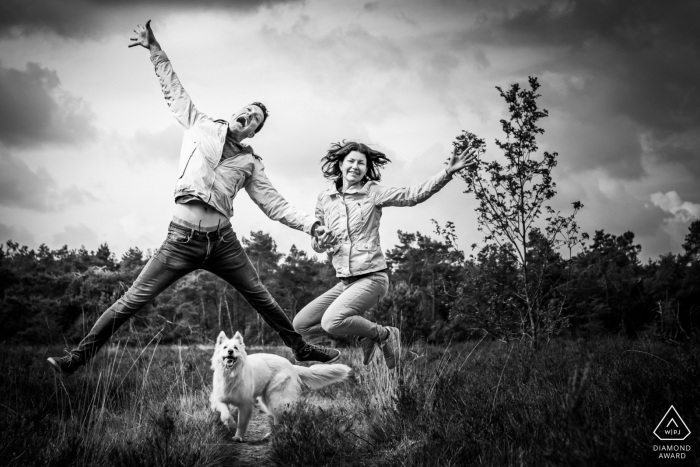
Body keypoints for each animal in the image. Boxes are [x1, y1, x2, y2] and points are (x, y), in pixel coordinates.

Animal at [208, 330, 350, 444]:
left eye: (236, 348)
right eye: (225, 347)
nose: (230, 351)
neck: (231, 375)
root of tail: (291, 365)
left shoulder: (245, 404)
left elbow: (242, 423)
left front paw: (238, 436)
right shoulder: (219, 399)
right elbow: (225, 414)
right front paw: (230, 424)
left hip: (276, 398)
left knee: (282, 418)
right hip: (267, 401)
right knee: (278, 418)